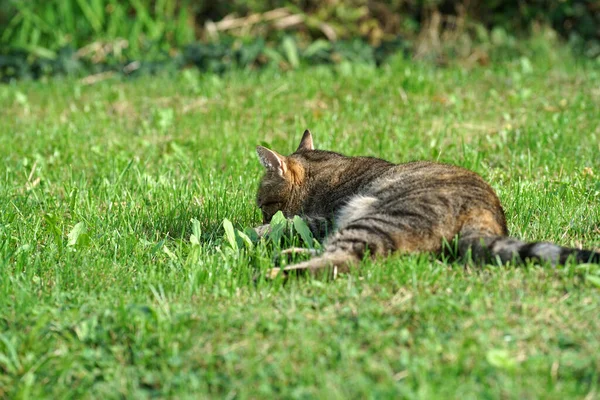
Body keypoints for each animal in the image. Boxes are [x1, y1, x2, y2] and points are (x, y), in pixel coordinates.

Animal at [254, 130, 600, 276]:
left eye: (260, 205)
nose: (260, 214)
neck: (322, 169)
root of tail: (486, 213)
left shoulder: (328, 214)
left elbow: (293, 223)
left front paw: (256, 230)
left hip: (374, 218)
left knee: (344, 259)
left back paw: (277, 272)